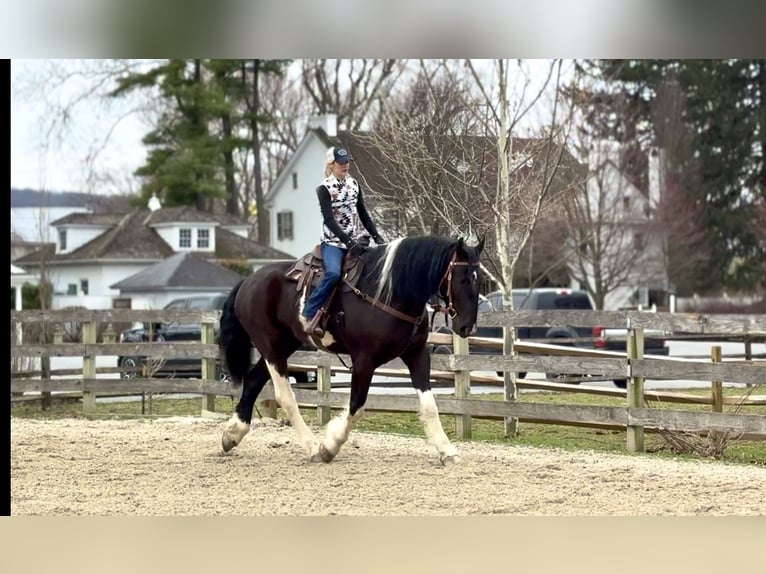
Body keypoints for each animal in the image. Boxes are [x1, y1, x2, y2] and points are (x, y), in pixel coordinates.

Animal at [218, 235, 485, 465]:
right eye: (462, 278)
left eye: (479, 278)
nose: (466, 326)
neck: (390, 293)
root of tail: (247, 282)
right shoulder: (364, 360)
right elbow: (356, 405)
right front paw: (330, 446)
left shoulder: (417, 355)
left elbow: (429, 406)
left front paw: (447, 451)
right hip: (271, 347)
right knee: (285, 396)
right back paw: (312, 447)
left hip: (283, 346)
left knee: (253, 382)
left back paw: (232, 434)